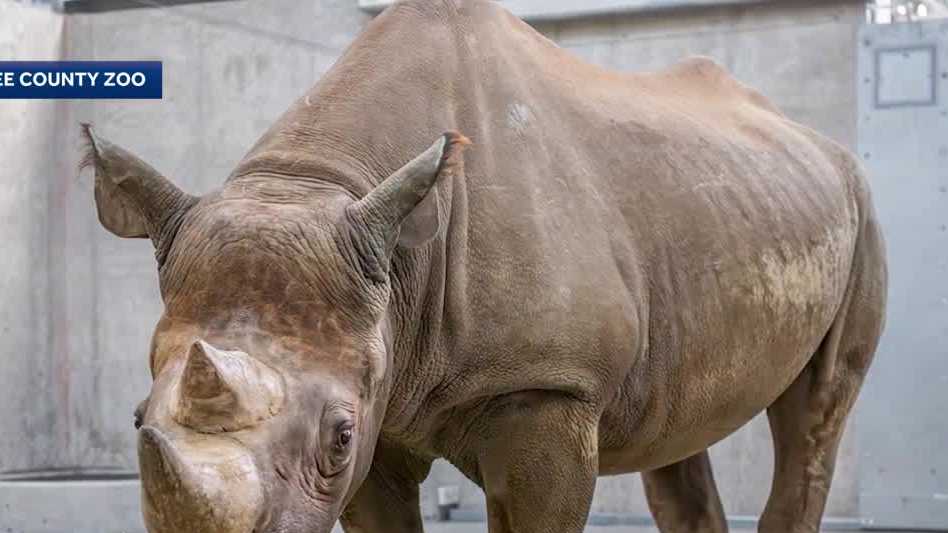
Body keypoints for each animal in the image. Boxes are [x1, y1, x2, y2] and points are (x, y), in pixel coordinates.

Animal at [81, 0, 887, 532]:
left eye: (339, 434)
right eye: (137, 420)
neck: (320, 181)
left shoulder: (549, 387)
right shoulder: (385, 396)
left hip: (860, 205)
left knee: (815, 414)